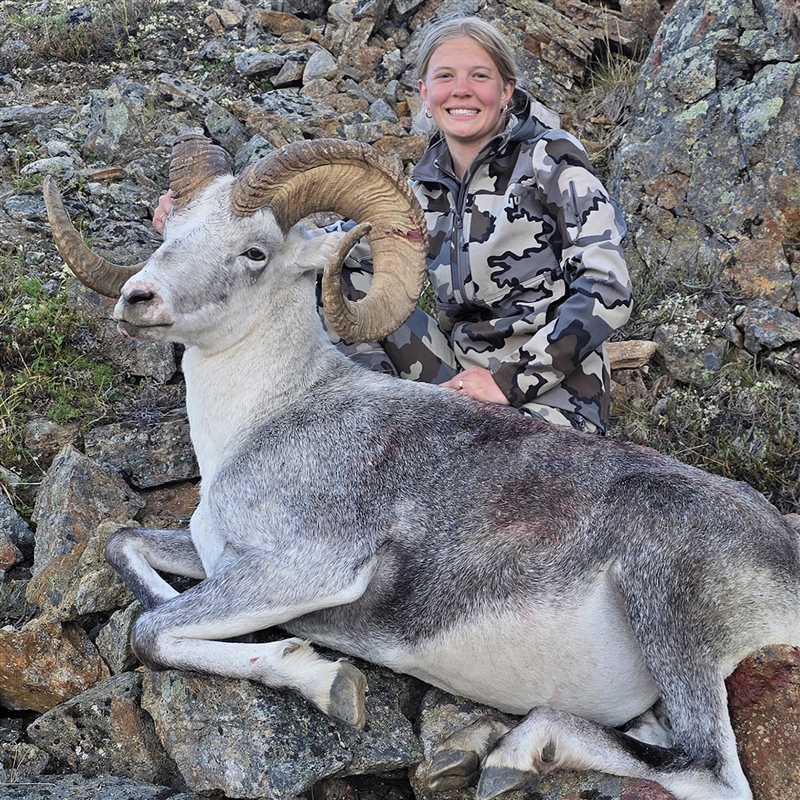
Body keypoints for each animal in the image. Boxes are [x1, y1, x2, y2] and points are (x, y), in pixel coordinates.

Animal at [43, 132, 800, 800]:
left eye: (254, 251)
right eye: (171, 233)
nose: (138, 299)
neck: (269, 415)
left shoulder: (302, 569)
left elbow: (150, 632)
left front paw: (328, 683)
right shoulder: (213, 556)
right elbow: (125, 549)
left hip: (668, 610)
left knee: (707, 770)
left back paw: (516, 755)